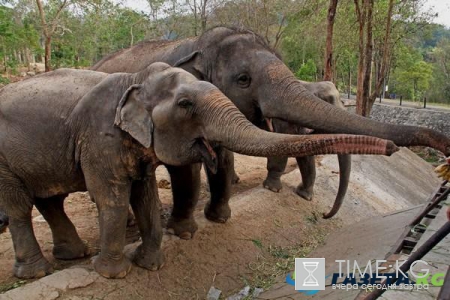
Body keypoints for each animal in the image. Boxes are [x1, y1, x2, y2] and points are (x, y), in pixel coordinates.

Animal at [260, 80, 348, 218]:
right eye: (327, 101)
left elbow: (305, 155)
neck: (308, 85)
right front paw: (272, 189)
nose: (324, 214)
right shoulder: (282, 120)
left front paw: (304, 196)